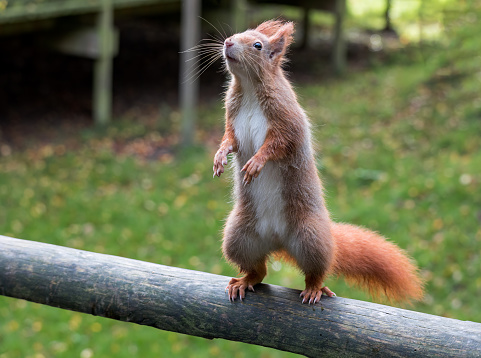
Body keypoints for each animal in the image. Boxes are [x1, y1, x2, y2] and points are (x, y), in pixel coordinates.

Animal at [212, 20, 422, 304]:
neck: (249, 88)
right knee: (259, 270)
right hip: (239, 238)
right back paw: (245, 280)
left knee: (317, 270)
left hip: (310, 238)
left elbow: (279, 144)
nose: (228, 42)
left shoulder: (287, 120)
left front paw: (257, 162)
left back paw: (314, 288)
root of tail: (277, 240)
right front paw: (220, 156)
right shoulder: (232, 118)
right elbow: (230, 139)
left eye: (257, 45)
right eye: (238, 33)